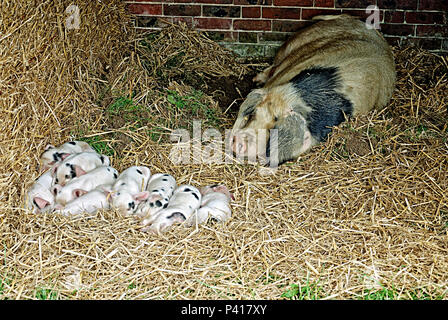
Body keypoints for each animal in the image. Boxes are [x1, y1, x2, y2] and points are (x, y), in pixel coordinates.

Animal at [229, 13, 394, 166]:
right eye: (254, 114)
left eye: (275, 125)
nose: (239, 141)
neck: (297, 98)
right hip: (294, 43)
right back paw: (256, 79)